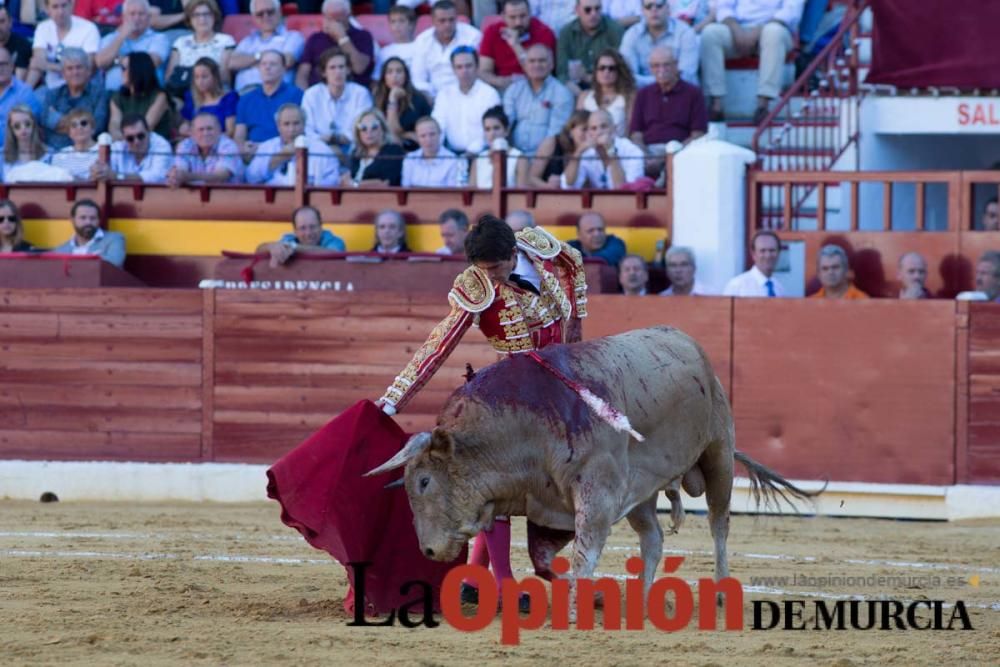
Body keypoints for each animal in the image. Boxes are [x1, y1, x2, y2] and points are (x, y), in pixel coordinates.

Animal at [370, 328, 820, 604]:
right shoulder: (547, 504)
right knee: (653, 537)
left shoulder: (597, 494)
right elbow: (545, 560)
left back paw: (723, 589)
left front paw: (577, 606)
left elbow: (583, 554)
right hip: (642, 490)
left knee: (719, 523)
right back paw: (642, 597)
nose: (428, 550)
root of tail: (687, 342)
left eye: (424, 481)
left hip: (718, 453)